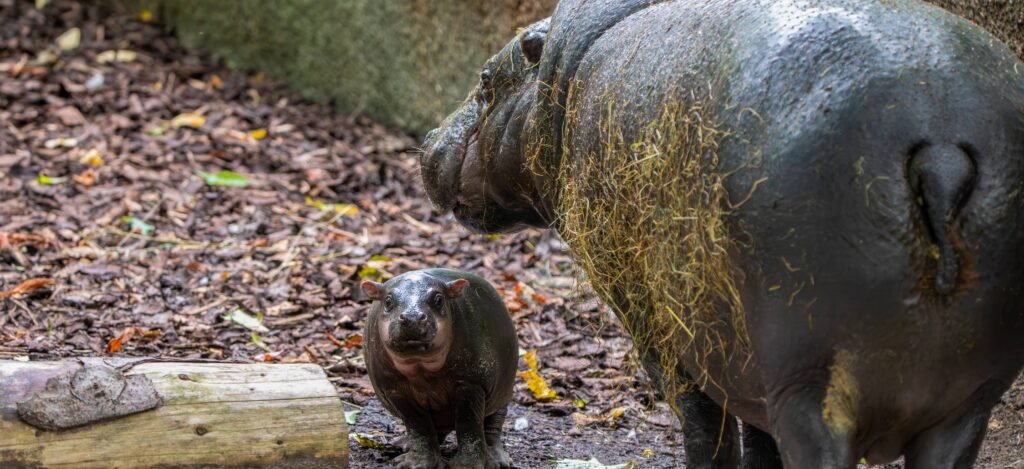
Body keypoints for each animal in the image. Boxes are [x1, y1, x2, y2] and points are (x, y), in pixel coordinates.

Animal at [361, 269, 517, 469]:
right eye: (388, 301)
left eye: (438, 299)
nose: (412, 317)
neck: (420, 367)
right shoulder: (394, 389)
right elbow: (418, 426)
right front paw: (414, 464)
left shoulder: (470, 383)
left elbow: (469, 424)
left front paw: (467, 465)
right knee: (433, 429)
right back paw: (401, 444)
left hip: (502, 393)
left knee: (492, 425)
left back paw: (499, 459)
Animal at [420, 1, 1024, 468]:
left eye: (484, 82)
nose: (427, 139)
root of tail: (941, 146)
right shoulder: (734, 345)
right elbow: (755, 435)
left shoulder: (657, 327)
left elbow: (703, 424)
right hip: (968, 400)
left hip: (812, 388)